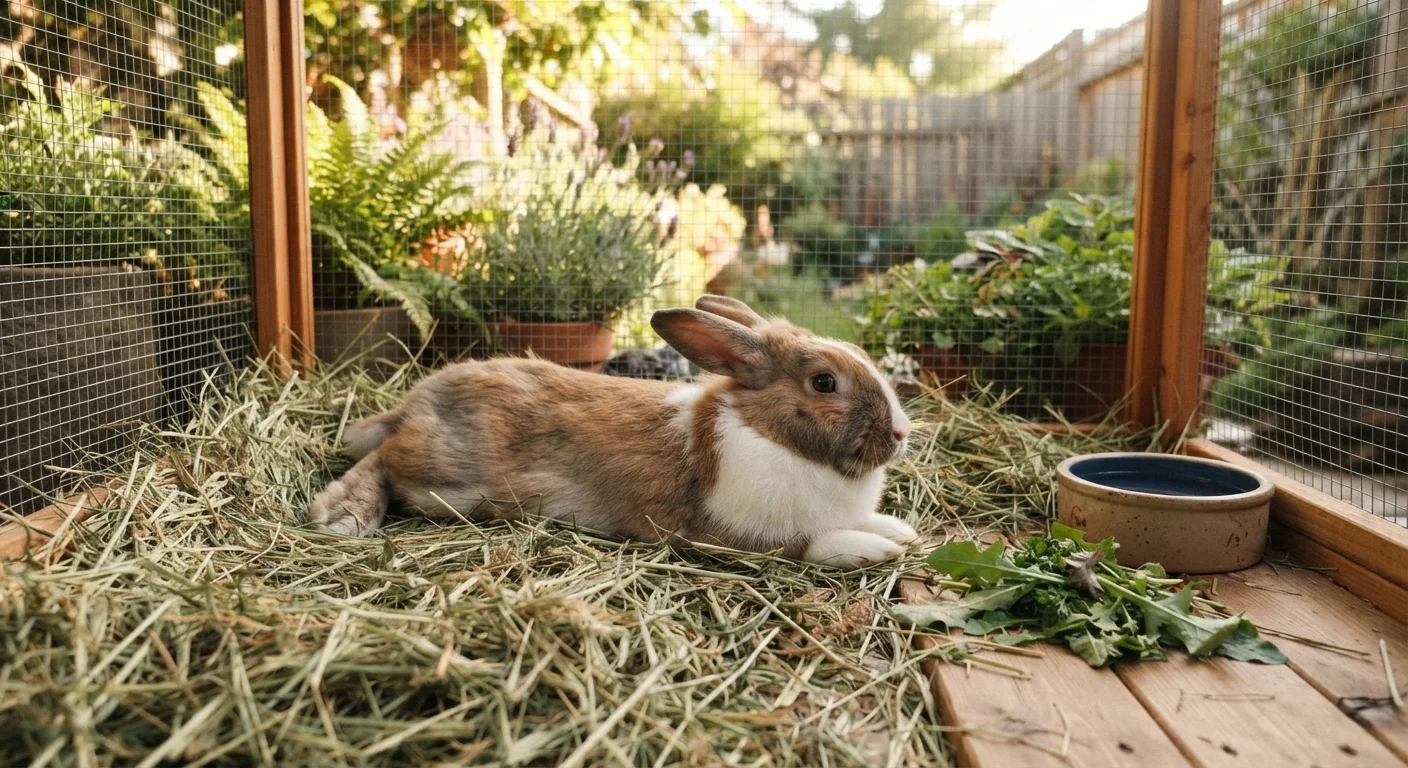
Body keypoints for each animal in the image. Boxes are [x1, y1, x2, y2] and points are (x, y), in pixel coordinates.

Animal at [309, 295, 918, 568]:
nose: (901, 433)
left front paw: (899, 530)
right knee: (385, 458)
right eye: (824, 382)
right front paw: (873, 547)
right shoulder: (729, 535)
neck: (766, 432)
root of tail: (417, 402)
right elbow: (813, 542)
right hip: (446, 478)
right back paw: (343, 514)